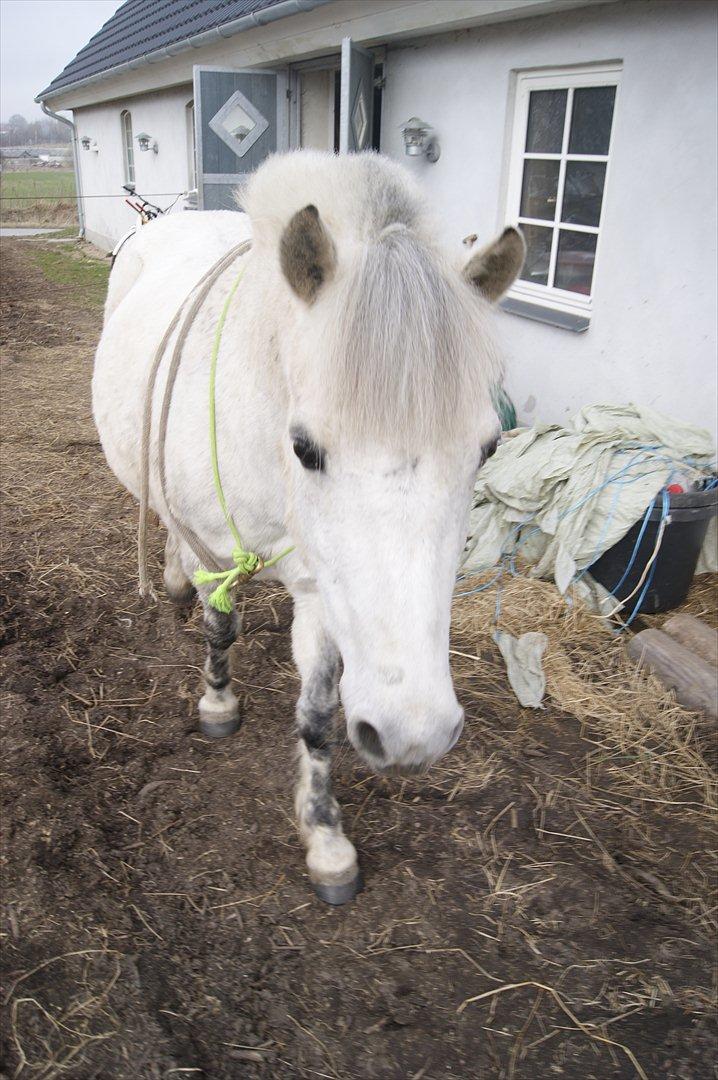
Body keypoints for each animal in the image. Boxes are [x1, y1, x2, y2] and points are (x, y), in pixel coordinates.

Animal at [93, 152, 520, 902]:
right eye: (304, 447)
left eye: (488, 448)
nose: (415, 735)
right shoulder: (216, 550)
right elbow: (220, 629)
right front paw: (218, 704)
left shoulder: (323, 592)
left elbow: (318, 714)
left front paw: (325, 837)